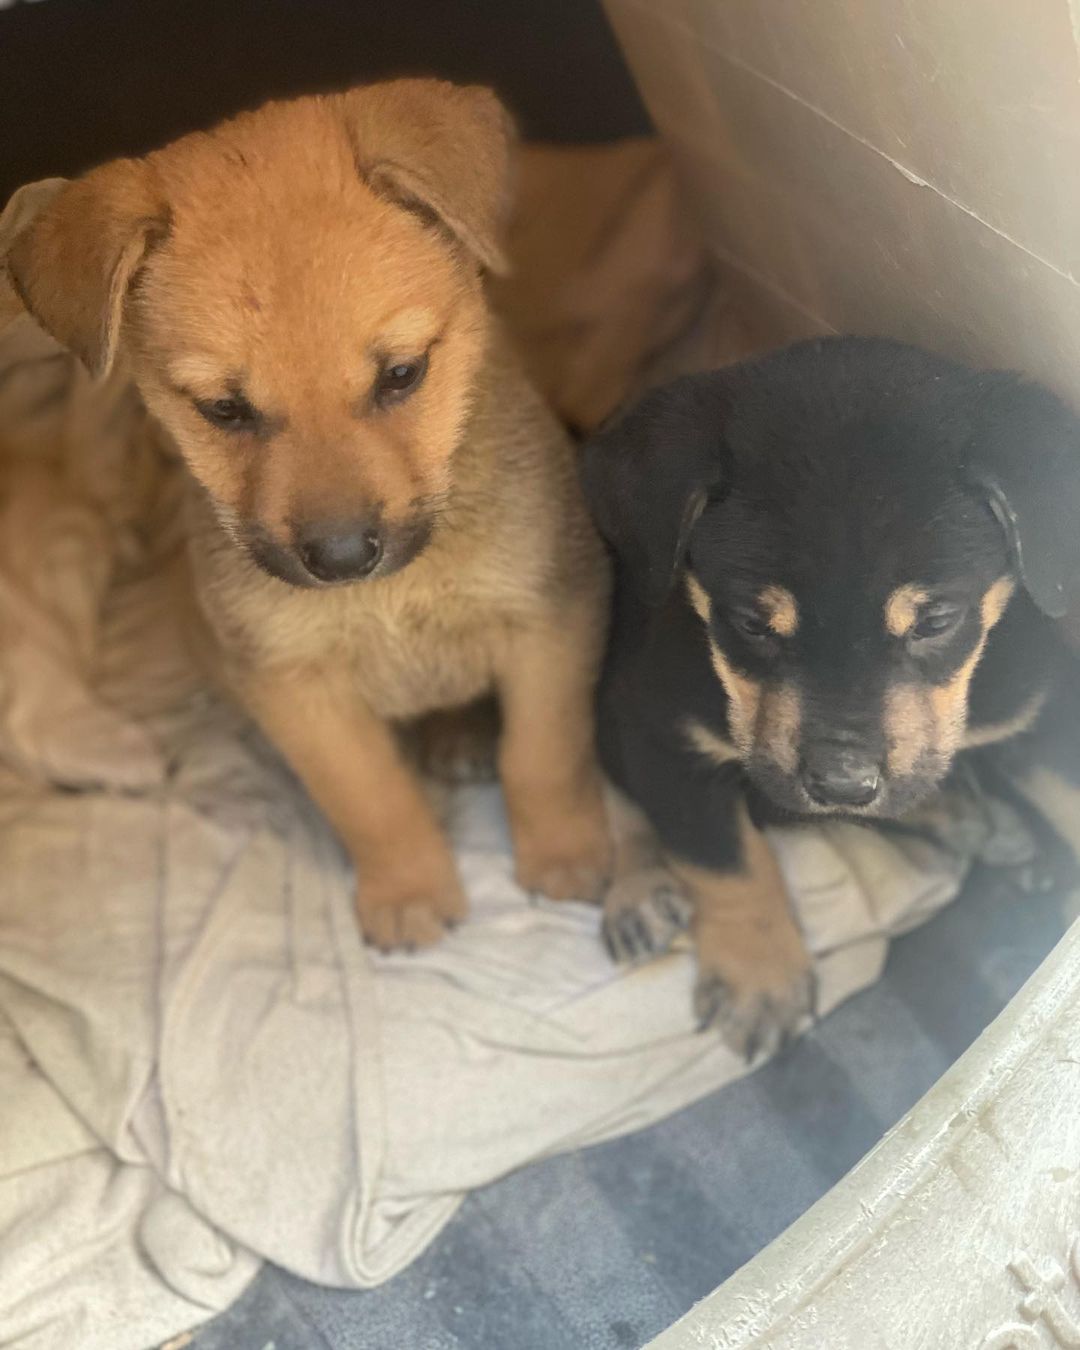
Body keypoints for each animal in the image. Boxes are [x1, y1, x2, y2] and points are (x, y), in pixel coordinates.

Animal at [8, 81, 612, 950]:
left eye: (403, 374)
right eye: (223, 409)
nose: (342, 558)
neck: (393, 599)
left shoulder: (552, 618)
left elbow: (543, 754)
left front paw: (564, 853)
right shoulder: (294, 688)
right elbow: (371, 799)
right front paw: (408, 891)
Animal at [585, 334, 1080, 1053]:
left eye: (937, 620)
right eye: (750, 621)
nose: (842, 783)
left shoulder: (1040, 705)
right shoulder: (660, 731)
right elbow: (723, 860)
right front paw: (762, 981)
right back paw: (638, 889)